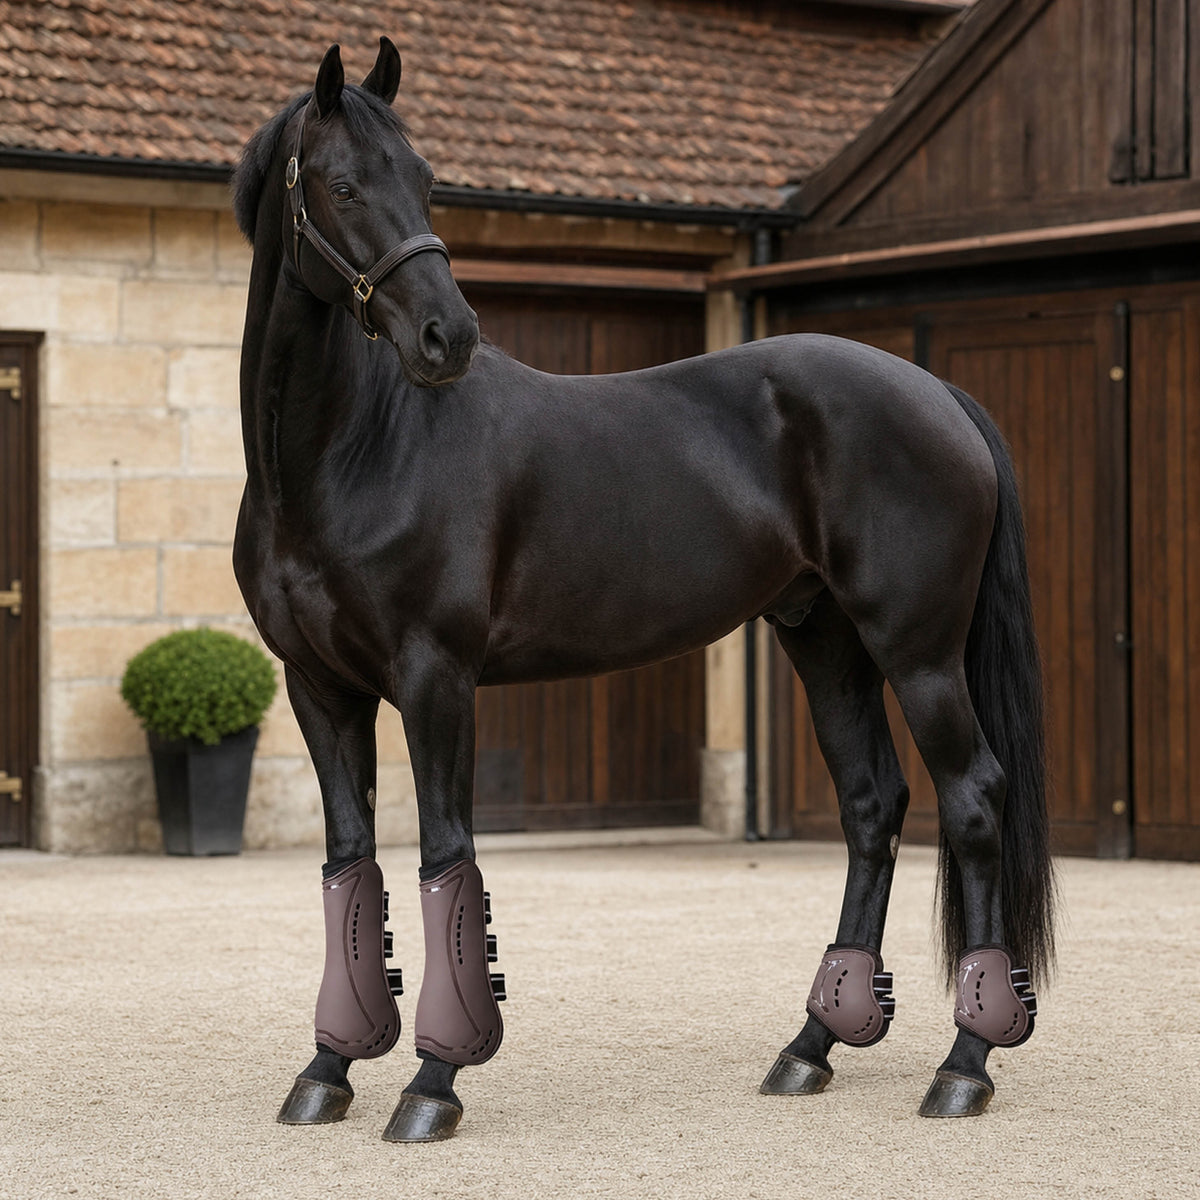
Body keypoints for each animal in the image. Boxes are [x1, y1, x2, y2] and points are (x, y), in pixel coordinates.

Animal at [231, 37, 1054, 1141]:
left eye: (427, 177)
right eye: (346, 183)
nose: (449, 337)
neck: (348, 455)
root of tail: (939, 394)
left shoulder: (434, 677)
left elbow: (447, 857)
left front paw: (432, 1083)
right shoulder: (319, 686)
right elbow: (349, 862)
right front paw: (327, 1069)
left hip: (918, 651)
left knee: (972, 803)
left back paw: (964, 1064)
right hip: (824, 639)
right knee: (871, 805)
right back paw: (811, 1046)